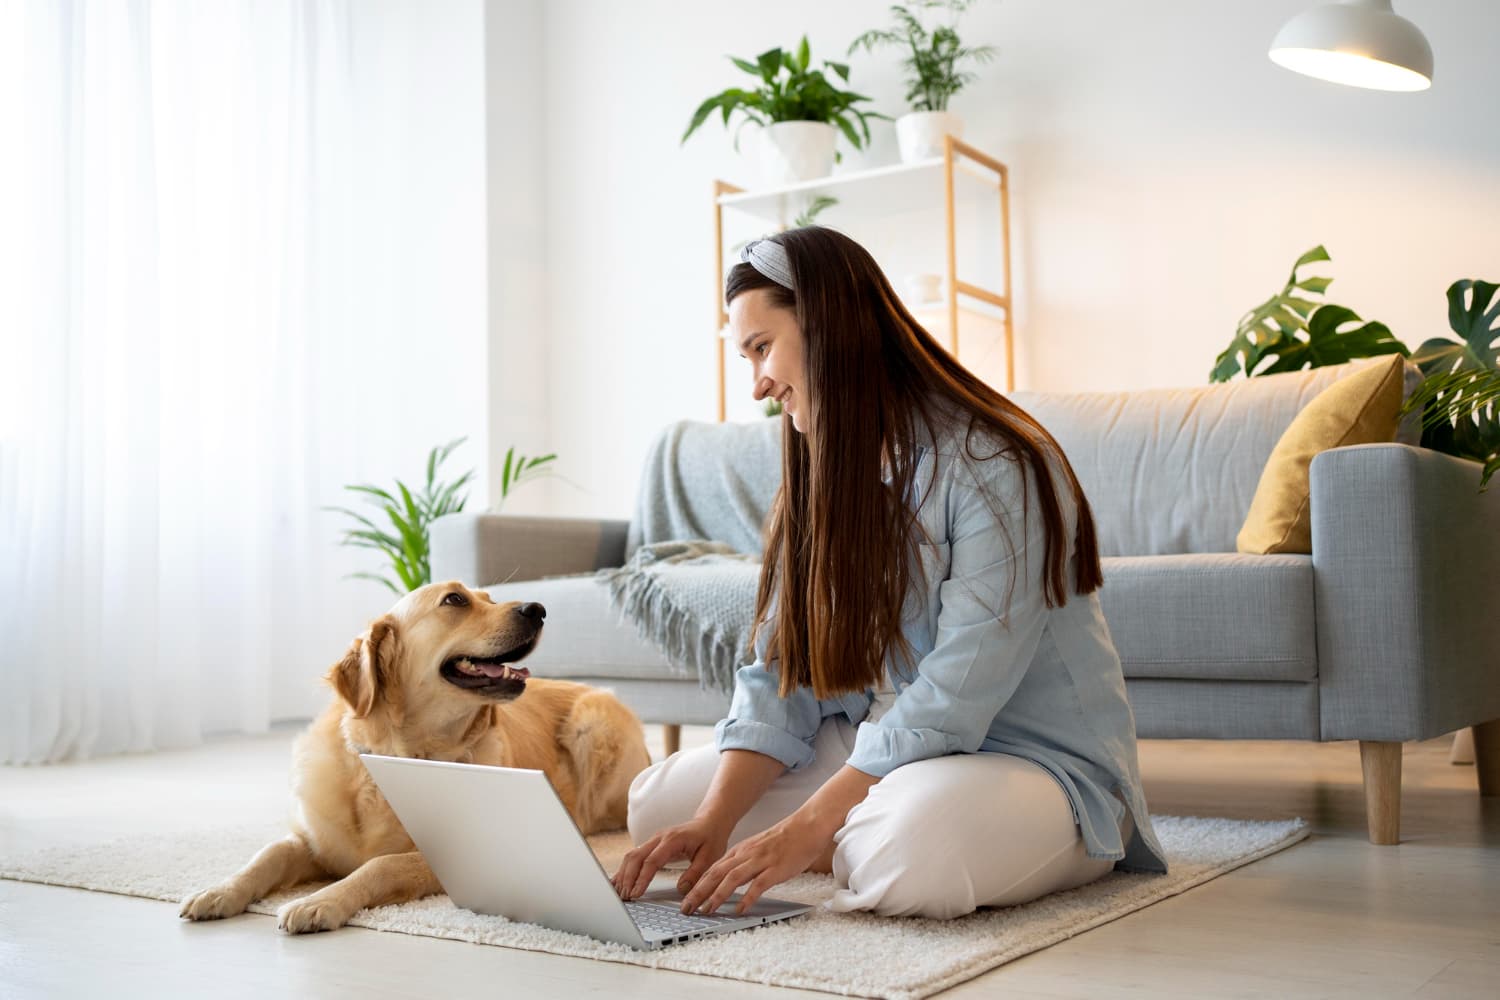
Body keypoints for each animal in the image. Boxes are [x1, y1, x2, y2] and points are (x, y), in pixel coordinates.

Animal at [180, 581, 651, 935]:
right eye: (456, 600)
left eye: (489, 598)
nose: (537, 609)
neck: (402, 756)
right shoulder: (313, 840)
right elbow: (268, 854)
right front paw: (219, 891)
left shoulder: (450, 854)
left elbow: (380, 865)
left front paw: (320, 901)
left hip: (592, 724)